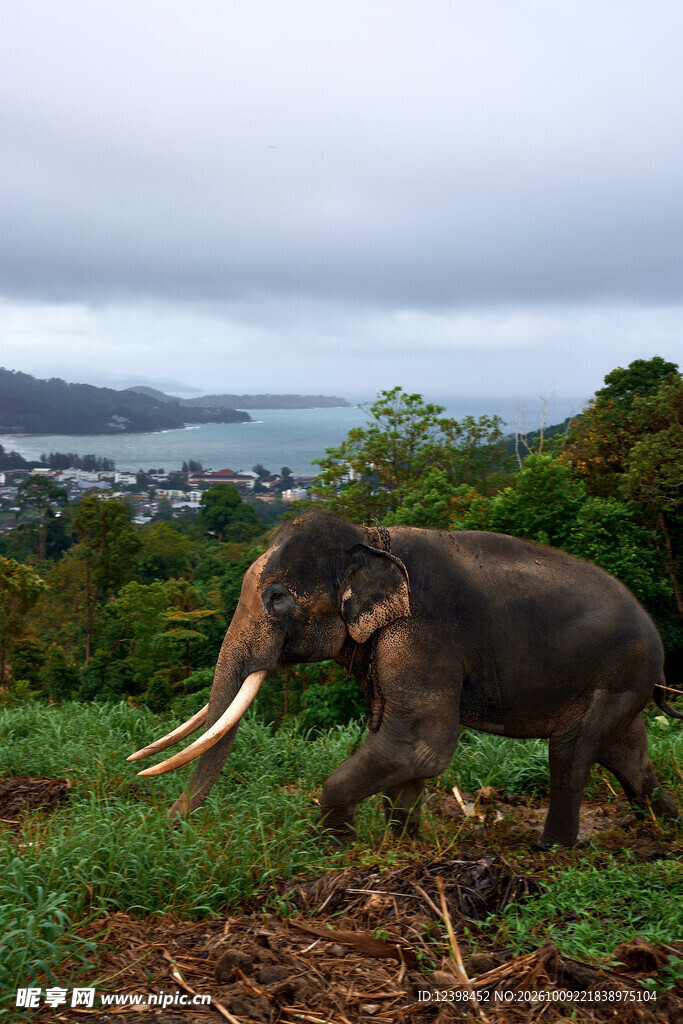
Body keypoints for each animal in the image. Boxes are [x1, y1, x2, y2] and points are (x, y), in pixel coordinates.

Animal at [129, 512, 681, 847]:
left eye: (278, 598)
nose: (169, 822)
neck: (372, 539)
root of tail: (655, 635)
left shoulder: (419, 635)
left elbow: (423, 744)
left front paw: (335, 844)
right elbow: (404, 747)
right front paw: (404, 842)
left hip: (620, 670)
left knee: (571, 749)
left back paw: (550, 848)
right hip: (624, 682)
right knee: (626, 752)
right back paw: (665, 826)